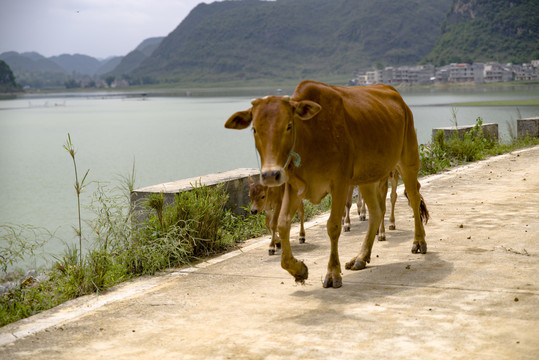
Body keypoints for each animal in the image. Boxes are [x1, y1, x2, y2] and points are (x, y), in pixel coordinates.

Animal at [226, 80, 428, 288]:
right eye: (254, 129)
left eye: (289, 125)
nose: (270, 175)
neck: (310, 136)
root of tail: (397, 96)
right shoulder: (293, 187)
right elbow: (282, 225)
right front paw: (298, 269)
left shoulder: (339, 183)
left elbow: (333, 226)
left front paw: (332, 273)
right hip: (367, 178)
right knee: (376, 212)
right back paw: (361, 257)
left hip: (408, 161)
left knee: (413, 198)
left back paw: (419, 242)